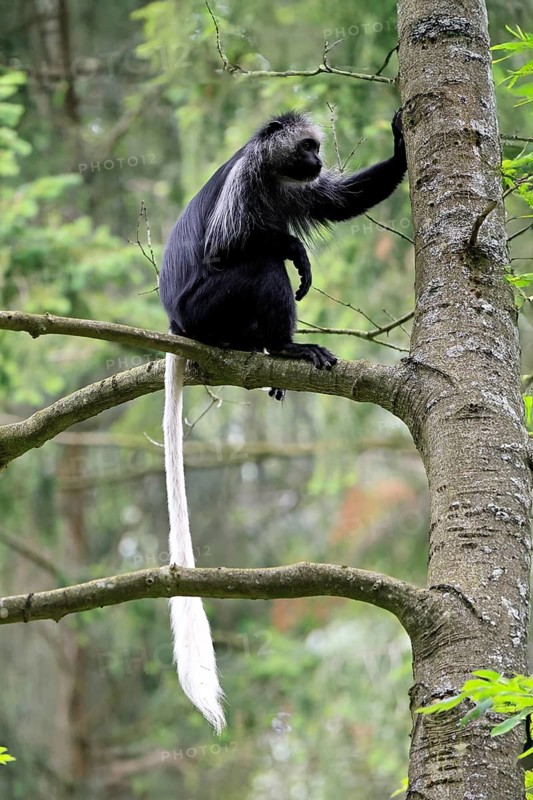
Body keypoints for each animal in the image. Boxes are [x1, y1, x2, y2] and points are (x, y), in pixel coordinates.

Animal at [159, 109, 407, 732]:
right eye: (308, 147)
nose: (317, 160)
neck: (275, 175)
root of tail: (176, 323)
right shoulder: (249, 182)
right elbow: (233, 246)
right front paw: (297, 249)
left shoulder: (294, 188)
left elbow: (337, 201)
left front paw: (399, 141)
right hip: (210, 305)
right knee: (260, 265)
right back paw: (288, 346)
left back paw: (269, 355)